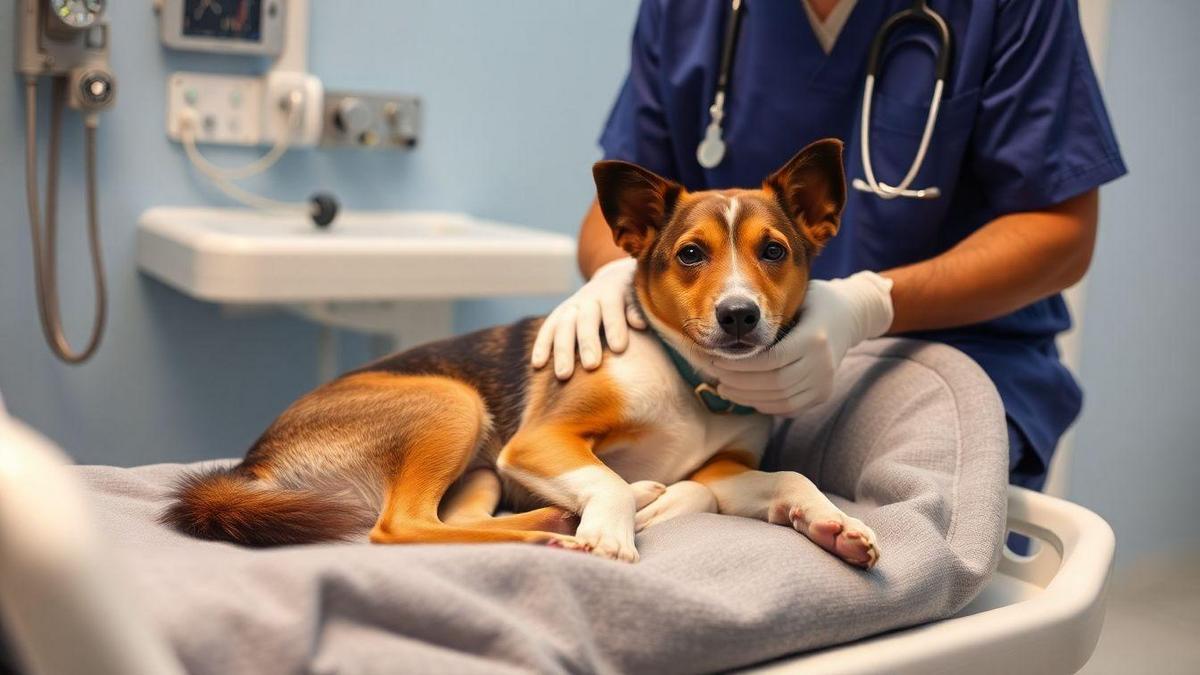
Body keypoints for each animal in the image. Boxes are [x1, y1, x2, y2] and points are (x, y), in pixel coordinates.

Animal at [164, 138, 883, 566]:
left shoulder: (724, 469)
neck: (690, 381)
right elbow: (610, 481)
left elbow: (781, 479)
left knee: (450, 520)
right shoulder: (539, 440)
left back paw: (556, 515)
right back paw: (557, 525)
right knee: (400, 526)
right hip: (454, 404)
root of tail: (252, 466)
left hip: (480, 470)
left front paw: (834, 525)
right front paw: (612, 529)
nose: (739, 315)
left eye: (774, 250)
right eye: (690, 254)